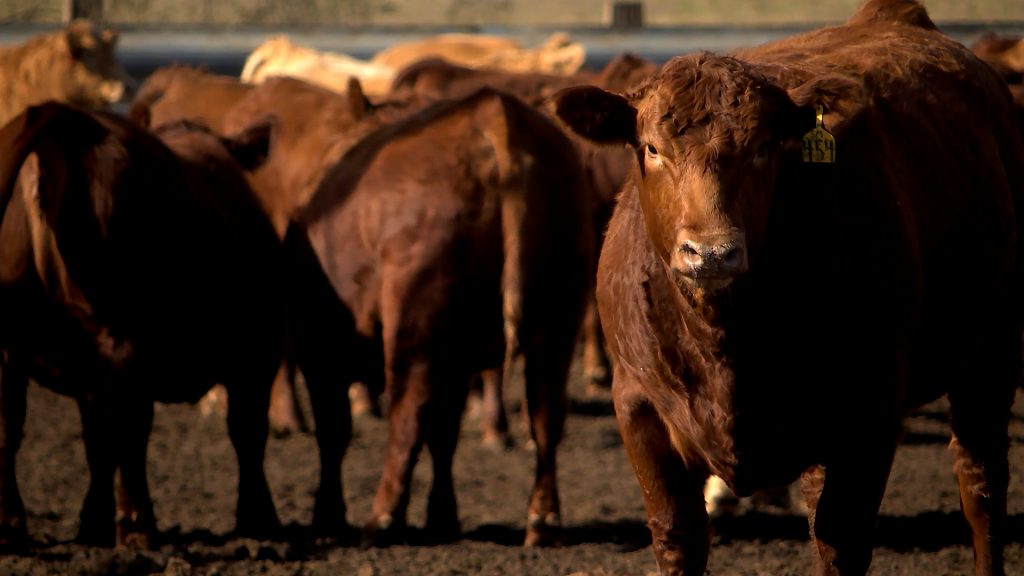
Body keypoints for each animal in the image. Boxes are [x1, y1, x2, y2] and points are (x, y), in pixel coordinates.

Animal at [0, 102, 285, 548]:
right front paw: (259, 520)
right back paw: (137, 523)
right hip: (124, 337)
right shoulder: (257, 355)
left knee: (11, 428)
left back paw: (12, 523)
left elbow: (97, 442)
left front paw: (92, 523)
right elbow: (247, 432)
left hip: (18, 348)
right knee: (130, 432)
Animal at [285, 86, 594, 546]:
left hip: (414, 326)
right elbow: (444, 434)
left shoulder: (319, 349)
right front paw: (442, 517)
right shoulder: (458, 361)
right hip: (556, 325)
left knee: (406, 418)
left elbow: (334, 431)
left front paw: (327, 517)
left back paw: (382, 519)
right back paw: (541, 521)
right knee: (545, 417)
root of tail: (495, 114)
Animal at [552, 0, 1023, 574]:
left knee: (981, 487)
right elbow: (678, 536)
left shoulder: (869, 413)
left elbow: (842, 542)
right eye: (651, 148)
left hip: (992, 350)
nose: (711, 252)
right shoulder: (639, 408)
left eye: (761, 149)